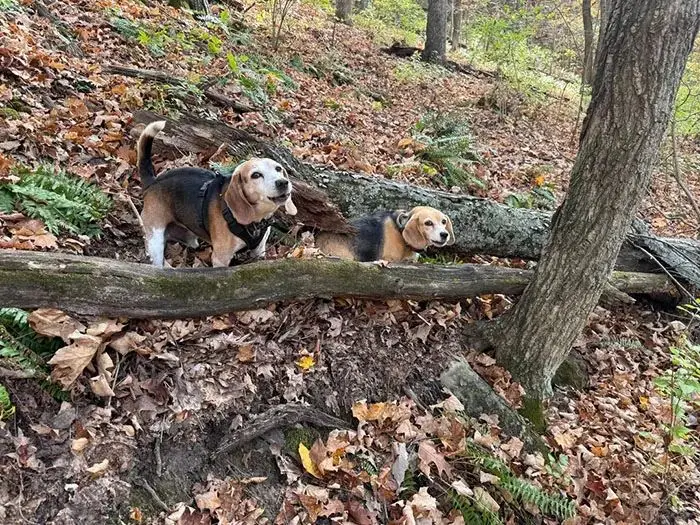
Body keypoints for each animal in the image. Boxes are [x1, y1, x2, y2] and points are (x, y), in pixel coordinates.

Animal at [137, 122, 298, 266]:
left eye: (278, 169)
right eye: (256, 175)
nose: (283, 182)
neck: (256, 220)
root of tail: (153, 181)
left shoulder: (259, 251)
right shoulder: (221, 258)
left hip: (190, 238)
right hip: (155, 241)